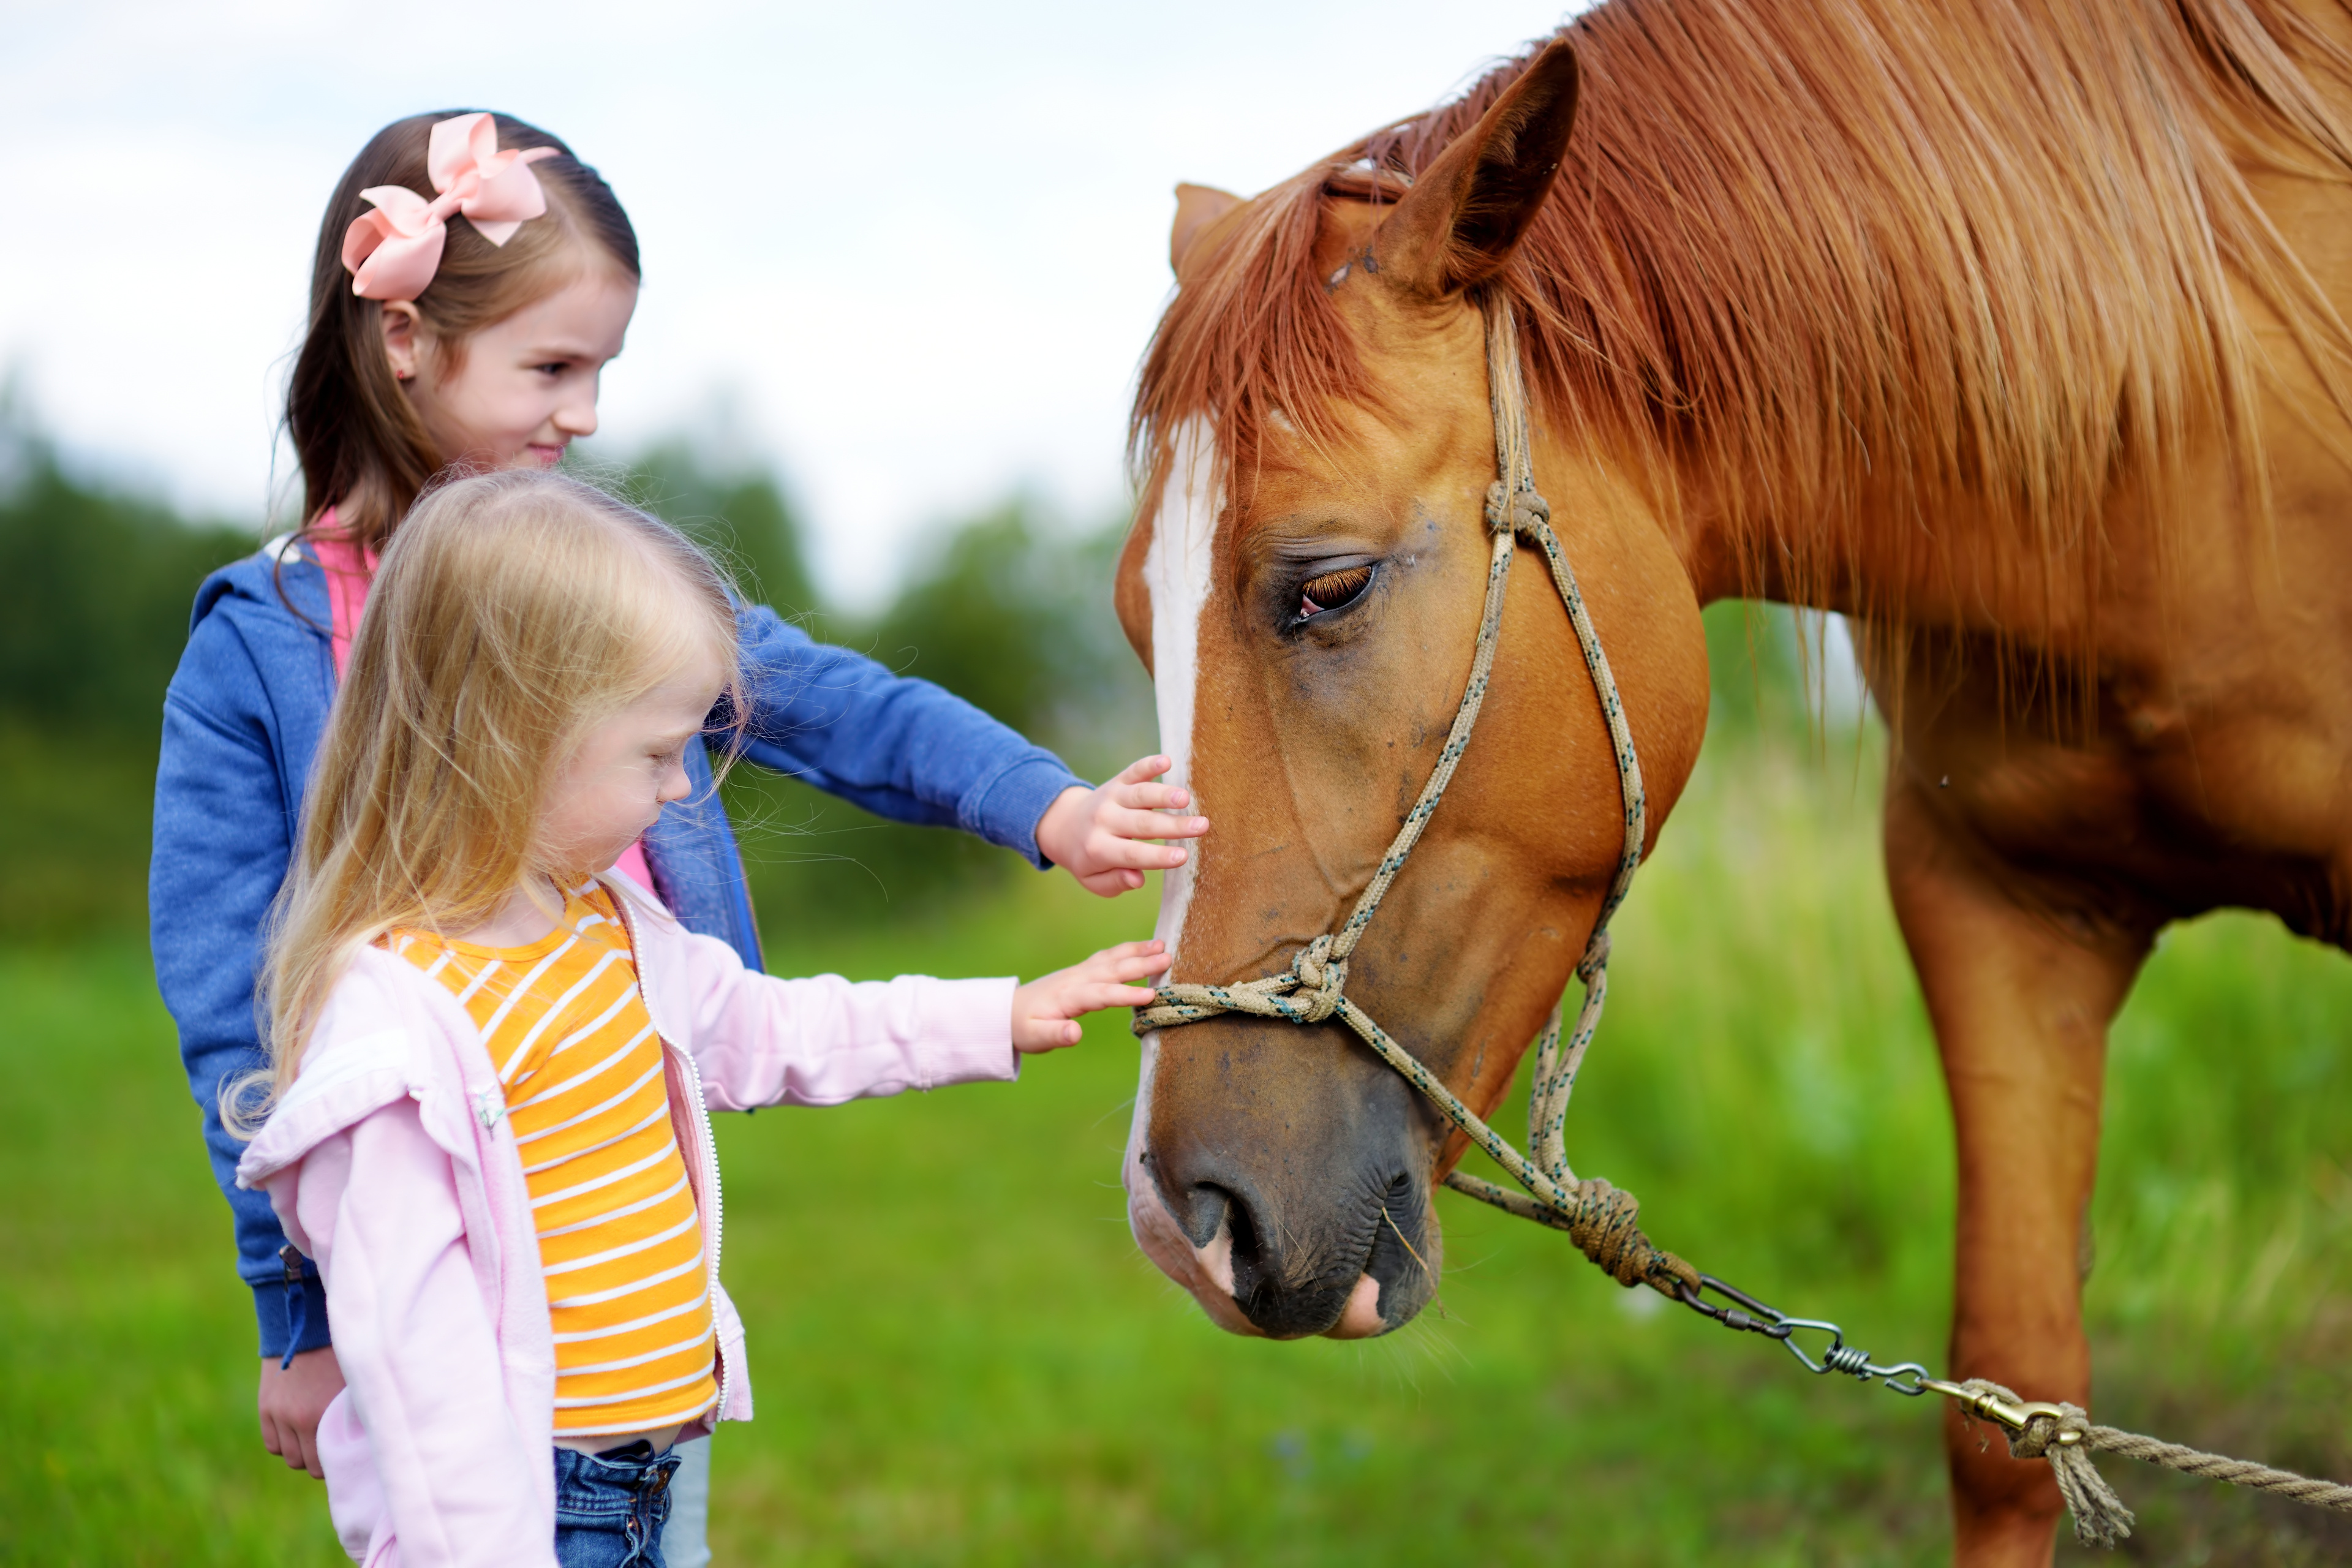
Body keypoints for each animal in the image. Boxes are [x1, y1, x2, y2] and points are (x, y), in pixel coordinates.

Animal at [1110, 6, 2352, 1561]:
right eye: (1132, 623)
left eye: (1327, 585)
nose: (1183, 1225)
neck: (2172, 422)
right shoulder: (1998, 907)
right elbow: (2007, 1414)